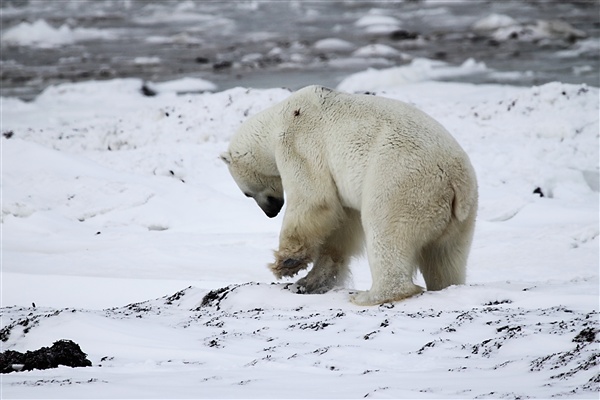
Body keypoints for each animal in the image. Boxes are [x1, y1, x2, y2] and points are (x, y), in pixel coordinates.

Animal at [220, 85, 478, 306]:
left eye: (246, 193)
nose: (272, 212)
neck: (277, 120)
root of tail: (455, 181)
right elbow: (342, 225)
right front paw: (308, 282)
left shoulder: (299, 143)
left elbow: (313, 199)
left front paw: (286, 264)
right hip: (461, 216)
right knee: (446, 257)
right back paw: (445, 284)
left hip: (402, 183)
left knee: (386, 231)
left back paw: (371, 296)